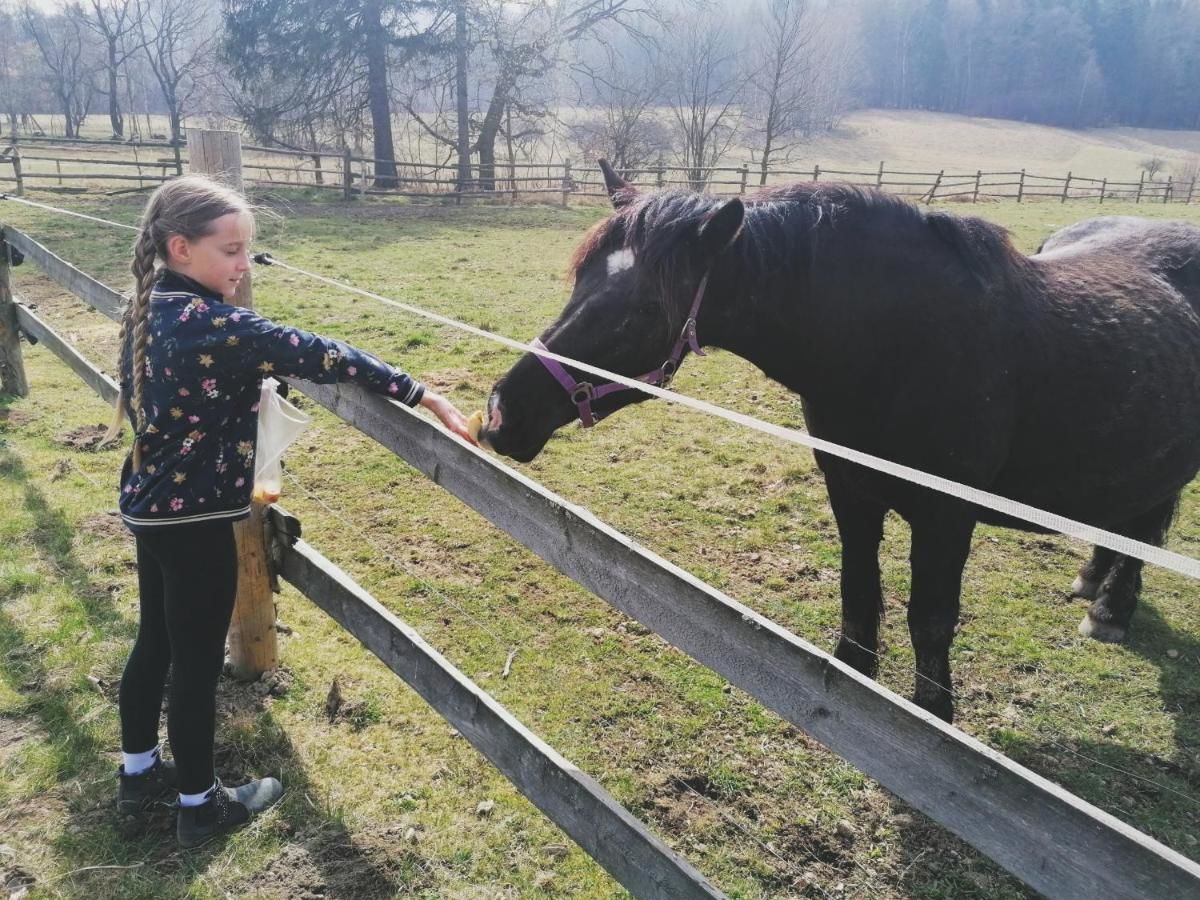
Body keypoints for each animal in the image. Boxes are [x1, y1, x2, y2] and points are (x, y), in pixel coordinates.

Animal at [477, 162, 1200, 724]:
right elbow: (858, 594)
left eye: (643, 310)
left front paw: (933, 720)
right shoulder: (849, 488)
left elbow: (929, 619)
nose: (501, 413)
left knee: (1149, 523)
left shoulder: (946, 517)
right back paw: (1094, 583)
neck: (899, 348)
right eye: (579, 281)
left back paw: (1111, 609)